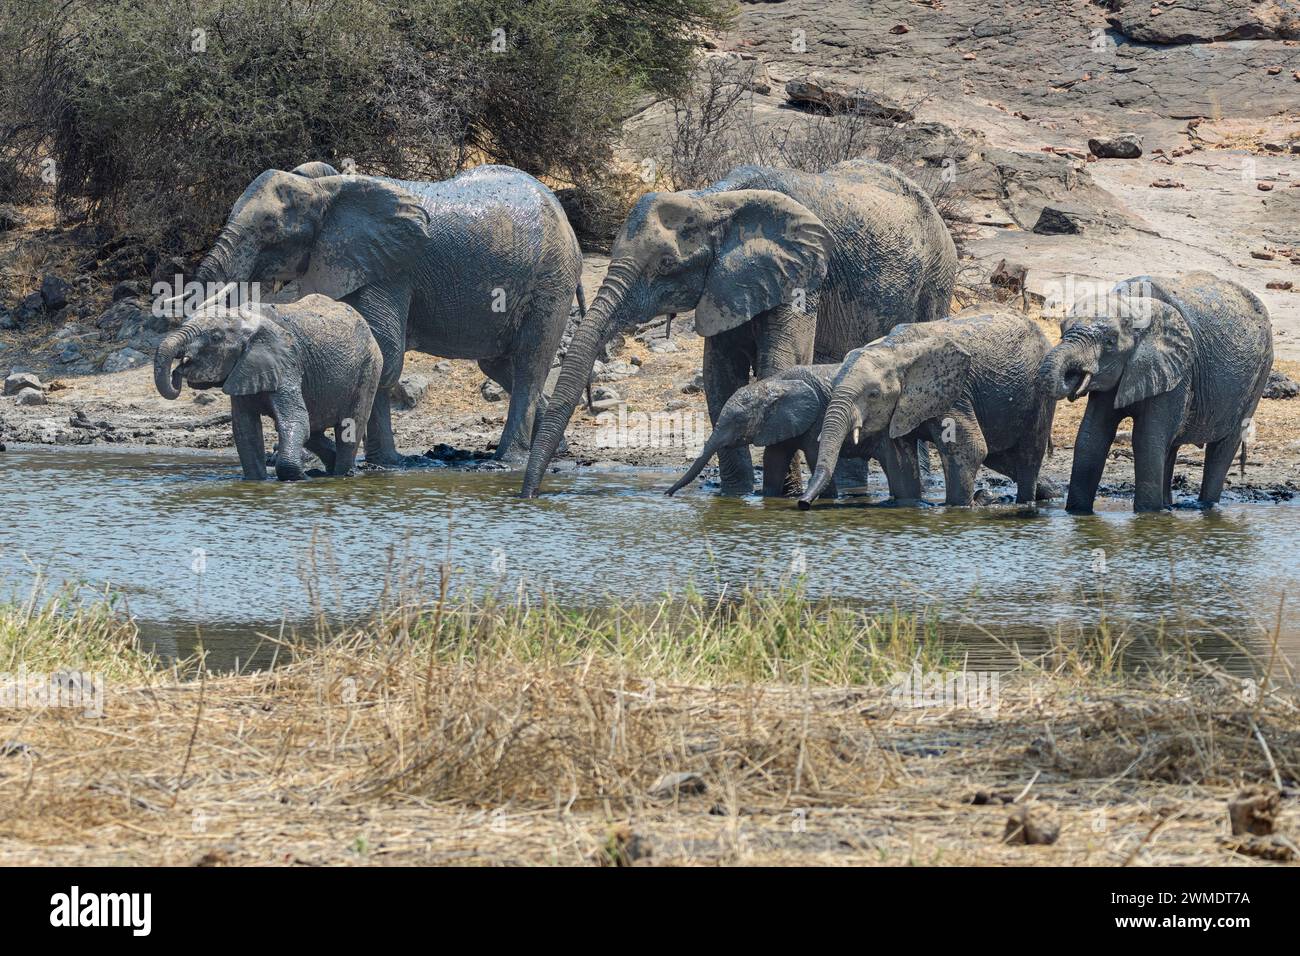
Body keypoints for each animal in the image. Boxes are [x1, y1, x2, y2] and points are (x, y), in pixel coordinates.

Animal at [155, 295, 379, 481]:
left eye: (216, 337)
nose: (178, 371)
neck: (244, 317)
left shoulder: (287, 362)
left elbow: (295, 420)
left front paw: (301, 478)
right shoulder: (244, 369)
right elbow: (246, 430)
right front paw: (257, 481)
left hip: (369, 369)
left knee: (350, 427)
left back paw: (341, 474)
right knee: (314, 431)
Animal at [182, 162, 585, 468]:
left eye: (268, 227)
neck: (326, 190)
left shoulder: (394, 267)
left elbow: (385, 353)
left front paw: (383, 464)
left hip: (551, 281)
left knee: (530, 363)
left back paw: (505, 462)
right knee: (501, 366)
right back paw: (554, 450)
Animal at [522, 159, 961, 496]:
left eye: (666, 265)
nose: (530, 496)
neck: (713, 201)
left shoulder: (803, 277)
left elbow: (777, 367)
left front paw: (780, 493)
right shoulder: (723, 284)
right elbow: (720, 377)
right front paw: (736, 496)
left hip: (937, 280)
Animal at [795, 310, 1060, 512]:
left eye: (873, 395)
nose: (802, 504)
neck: (894, 349)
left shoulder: (954, 392)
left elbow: (969, 449)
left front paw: (959, 509)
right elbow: (899, 460)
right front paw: (910, 505)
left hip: (1040, 392)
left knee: (1028, 456)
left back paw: (1025, 502)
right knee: (1001, 457)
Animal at [1040, 274, 1274, 515]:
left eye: (1110, 341)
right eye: (1061, 331)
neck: (1133, 304)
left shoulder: (1178, 368)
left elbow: (1146, 439)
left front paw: (1148, 515)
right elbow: (1091, 436)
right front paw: (1077, 513)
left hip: (1260, 372)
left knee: (1222, 448)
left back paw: (1205, 506)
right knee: (1171, 445)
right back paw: (1168, 506)